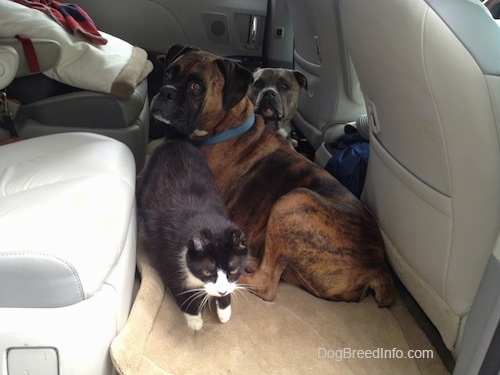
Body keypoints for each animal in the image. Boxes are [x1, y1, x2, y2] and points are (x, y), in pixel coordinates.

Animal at [137, 139, 248, 332]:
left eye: (233, 270)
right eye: (208, 271)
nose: (221, 291)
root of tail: (174, 142)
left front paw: (224, 309)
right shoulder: (170, 259)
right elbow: (180, 290)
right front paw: (194, 319)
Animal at [150, 44, 392, 308]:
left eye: (196, 86)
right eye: (168, 74)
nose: (166, 92)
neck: (222, 130)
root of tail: (379, 266)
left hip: (294, 201)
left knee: (265, 283)